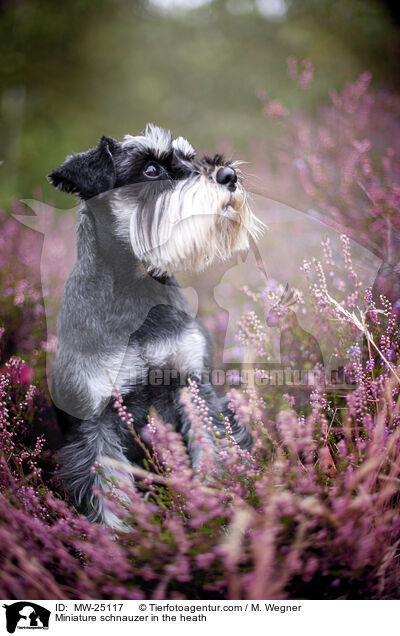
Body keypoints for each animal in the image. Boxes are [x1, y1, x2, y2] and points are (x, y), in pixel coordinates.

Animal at [47, 123, 262, 528]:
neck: (137, 293)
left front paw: (216, 502)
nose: (229, 176)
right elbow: (108, 488)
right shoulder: (95, 418)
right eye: (151, 169)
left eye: (188, 157)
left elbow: (211, 447)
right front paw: (122, 538)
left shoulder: (191, 385)